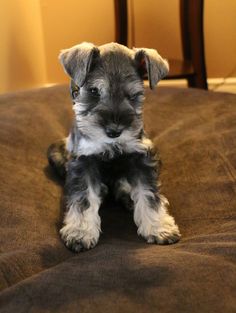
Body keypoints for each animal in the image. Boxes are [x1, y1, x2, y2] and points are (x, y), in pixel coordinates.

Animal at [47, 42, 181, 251]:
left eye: (133, 95)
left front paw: (159, 227)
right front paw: (80, 232)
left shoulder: (142, 159)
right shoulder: (83, 162)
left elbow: (149, 194)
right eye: (94, 91)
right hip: (55, 152)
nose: (114, 131)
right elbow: (83, 198)